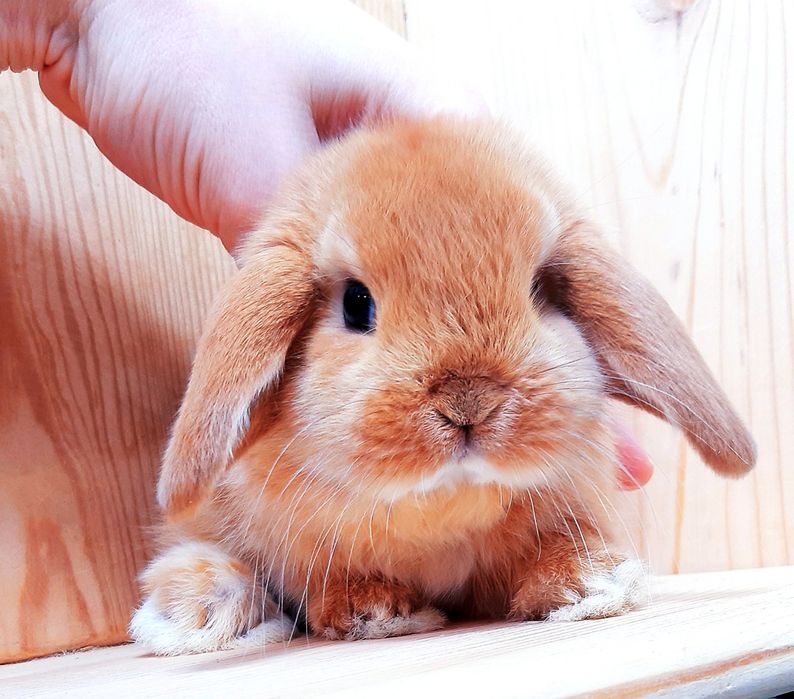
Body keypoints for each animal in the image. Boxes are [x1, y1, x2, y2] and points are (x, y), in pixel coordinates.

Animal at [129, 118, 756, 655]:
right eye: (356, 304)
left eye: (540, 289)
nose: (468, 402)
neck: (443, 509)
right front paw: (375, 612)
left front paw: (590, 584)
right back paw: (197, 609)